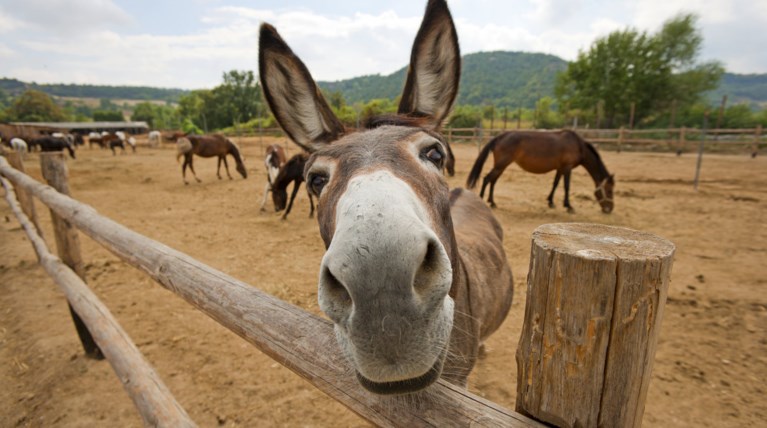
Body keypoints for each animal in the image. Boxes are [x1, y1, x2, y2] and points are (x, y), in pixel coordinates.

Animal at [464, 129, 616, 212]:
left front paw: (551, 202)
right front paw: (568, 206)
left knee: (493, 180)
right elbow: (566, 186)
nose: (609, 209)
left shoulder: (560, 168)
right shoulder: (567, 168)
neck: (578, 145)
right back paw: (483, 201)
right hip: (501, 165)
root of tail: (500, 136)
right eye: (609, 190)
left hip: (501, 166)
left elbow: (555, 184)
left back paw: (492, 202)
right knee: (487, 179)